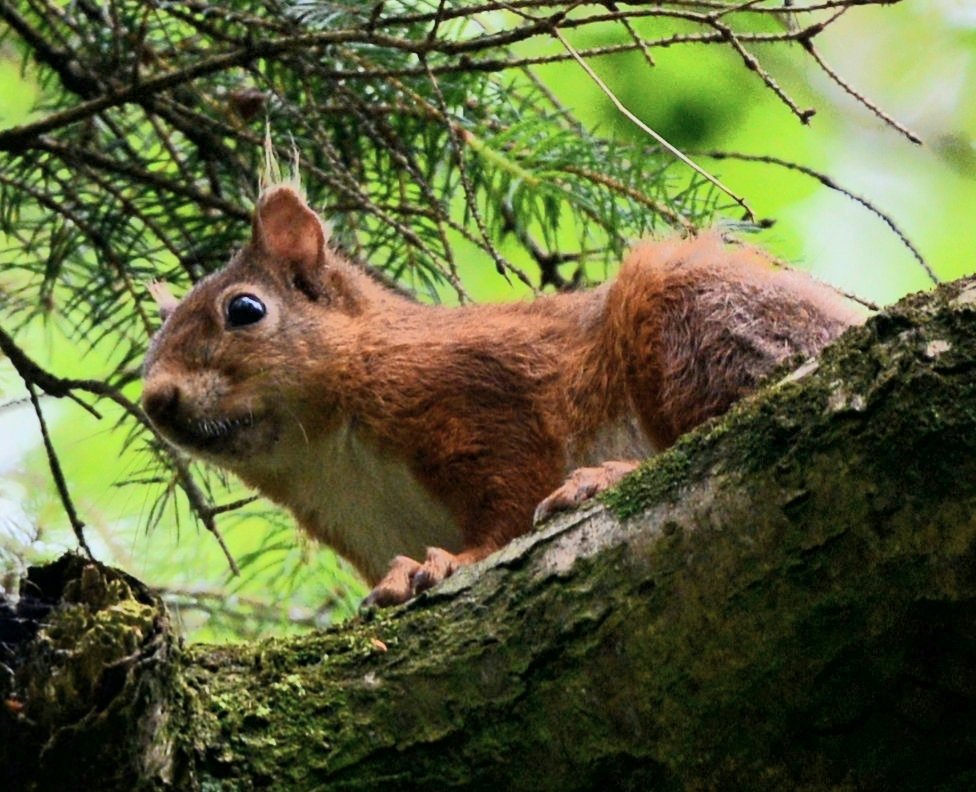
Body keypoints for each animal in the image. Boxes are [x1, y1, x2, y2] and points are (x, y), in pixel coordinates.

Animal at [141, 183, 864, 606]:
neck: (328, 449)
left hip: (691, 319)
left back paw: (601, 478)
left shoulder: (487, 397)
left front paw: (451, 562)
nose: (155, 400)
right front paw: (399, 579)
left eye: (244, 309)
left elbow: (507, 506)